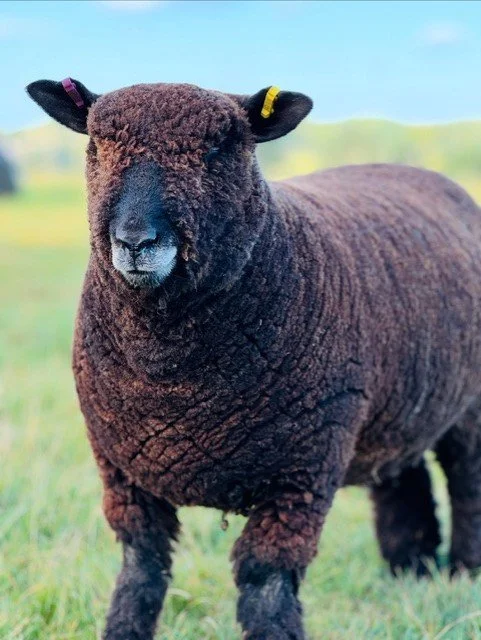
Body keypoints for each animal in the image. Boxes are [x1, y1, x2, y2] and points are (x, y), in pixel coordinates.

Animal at [26, 77, 481, 640]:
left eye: (217, 150)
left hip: (468, 410)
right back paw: (410, 573)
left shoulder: (300, 475)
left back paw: (463, 575)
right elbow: (141, 571)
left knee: (469, 487)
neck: (170, 385)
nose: (135, 241)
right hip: (396, 406)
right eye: (96, 146)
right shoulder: (122, 472)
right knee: (404, 480)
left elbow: (265, 583)